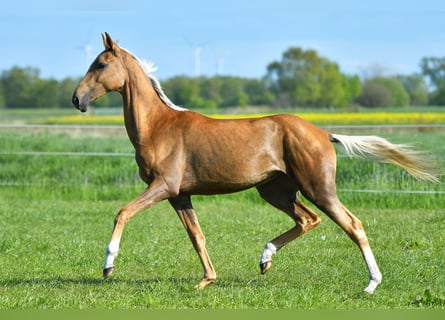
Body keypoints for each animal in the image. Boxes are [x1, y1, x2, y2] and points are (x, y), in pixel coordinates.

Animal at [73, 33, 438, 296]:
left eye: (101, 64)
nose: (77, 99)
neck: (159, 126)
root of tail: (323, 133)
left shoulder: (163, 186)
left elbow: (123, 213)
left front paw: (108, 266)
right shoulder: (180, 195)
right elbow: (197, 235)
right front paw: (208, 279)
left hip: (318, 188)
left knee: (353, 224)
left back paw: (371, 284)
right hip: (275, 191)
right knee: (308, 219)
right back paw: (265, 259)